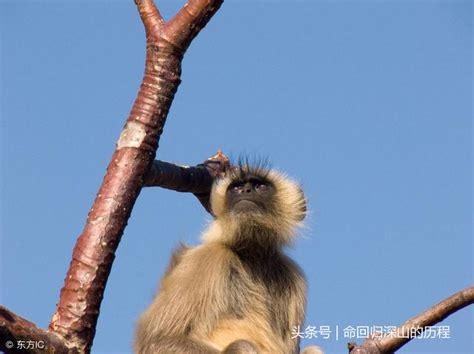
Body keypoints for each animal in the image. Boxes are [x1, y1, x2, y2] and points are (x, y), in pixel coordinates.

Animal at [135, 162, 324, 352]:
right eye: (236, 187)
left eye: (260, 186)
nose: (246, 191)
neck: (252, 256)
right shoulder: (208, 258)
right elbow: (158, 339)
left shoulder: (293, 276)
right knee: (242, 345)